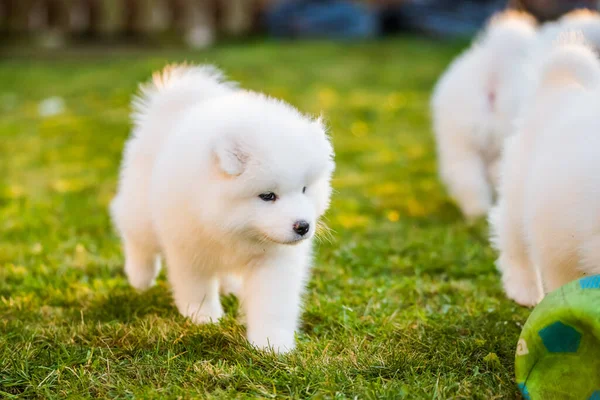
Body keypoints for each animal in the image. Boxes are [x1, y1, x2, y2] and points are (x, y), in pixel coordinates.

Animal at [110, 65, 336, 354]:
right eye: (267, 196)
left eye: (305, 189)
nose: (303, 226)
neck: (233, 226)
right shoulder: (188, 247)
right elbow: (197, 287)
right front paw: (204, 318)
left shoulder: (274, 260)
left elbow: (272, 303)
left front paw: (272, 344)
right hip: (141, 209)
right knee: (136, 238)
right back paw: (140, 276)